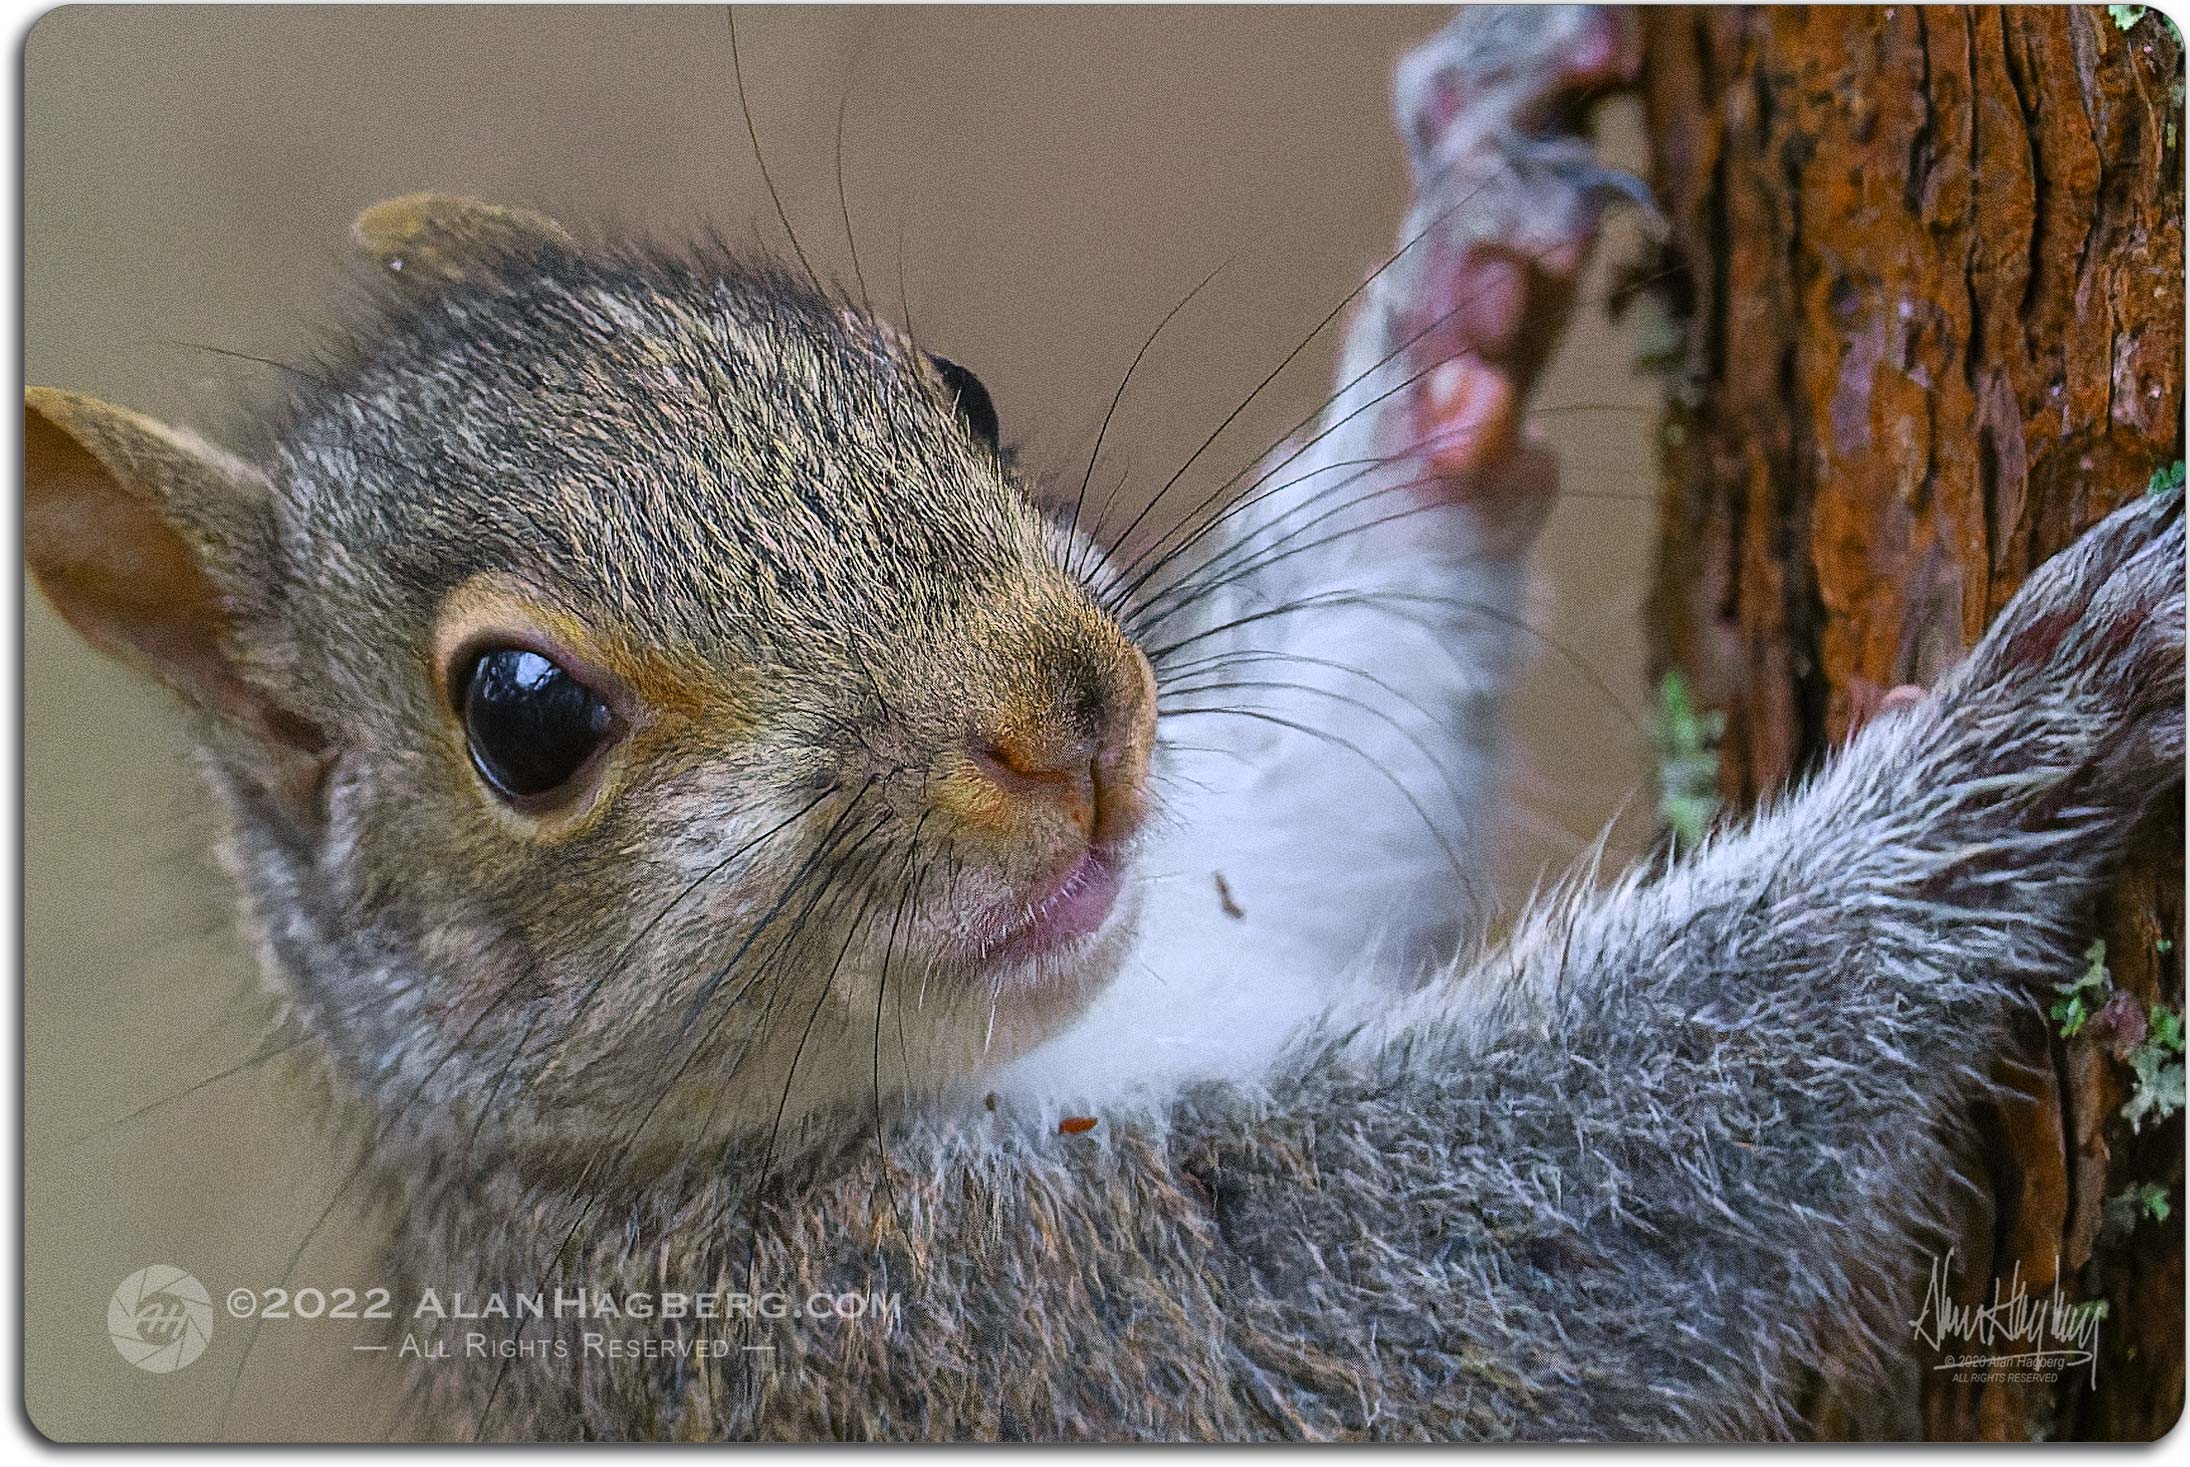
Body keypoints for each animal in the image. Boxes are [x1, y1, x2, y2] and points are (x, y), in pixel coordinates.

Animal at [25, 6, 2185, 1442]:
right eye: (525, 718)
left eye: (959, 392)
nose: (1071, 713)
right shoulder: (946, 1325)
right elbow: (1507, 1257)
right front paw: (2010, 741)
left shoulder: (1209, 892)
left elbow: (1307, 803)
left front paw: (1460, 297)